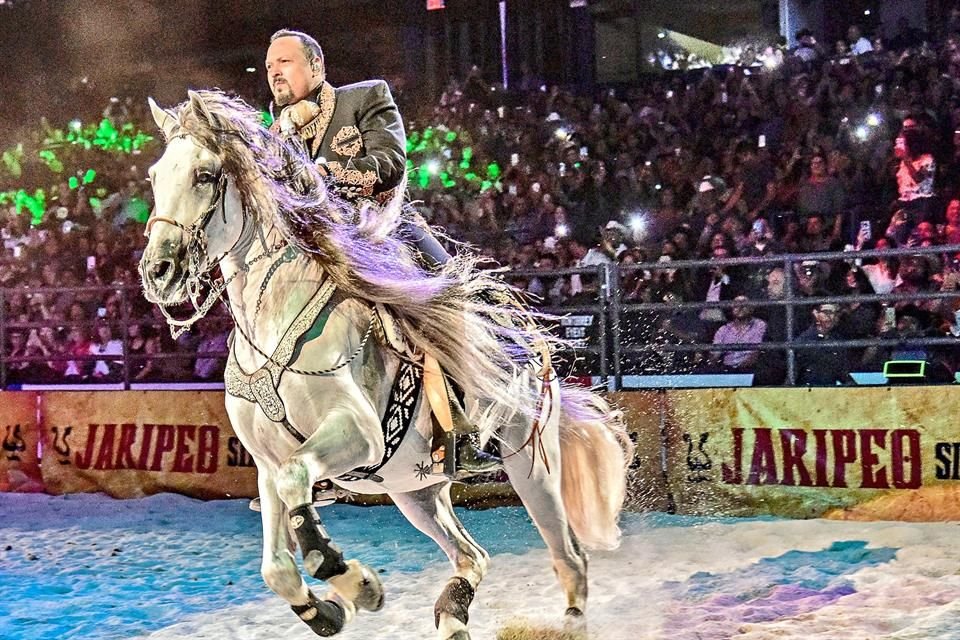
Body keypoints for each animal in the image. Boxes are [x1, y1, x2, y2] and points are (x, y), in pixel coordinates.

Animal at [135, 91, 632, 640]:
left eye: (205, 174)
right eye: (155, 176)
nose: (158, 272)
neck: (274, 321)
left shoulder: (359, 432)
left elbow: (296, 483)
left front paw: (343, 573)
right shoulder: (266, 463)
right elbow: (277, 566)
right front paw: (344, 601)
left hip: (531, 466)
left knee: (569, 558)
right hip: (415, 491)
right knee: (472, 556)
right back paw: (450, 614)